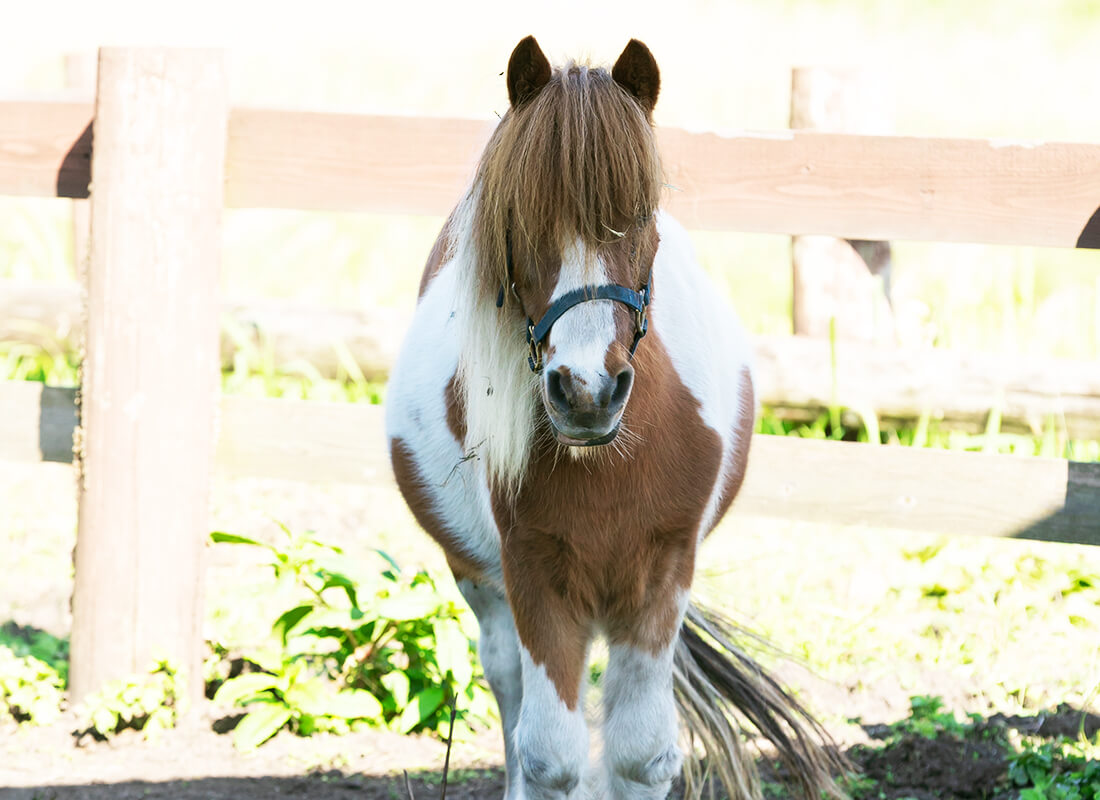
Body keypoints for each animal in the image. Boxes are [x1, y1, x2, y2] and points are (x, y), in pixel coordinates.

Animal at [387, 36, 840, 800]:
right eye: (522, 223)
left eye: (642, 214)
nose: (587, 390)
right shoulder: (533, 578)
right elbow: (550, 755)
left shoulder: (662, 576)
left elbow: (641, 753)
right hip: (480, 582)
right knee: (509, 691)